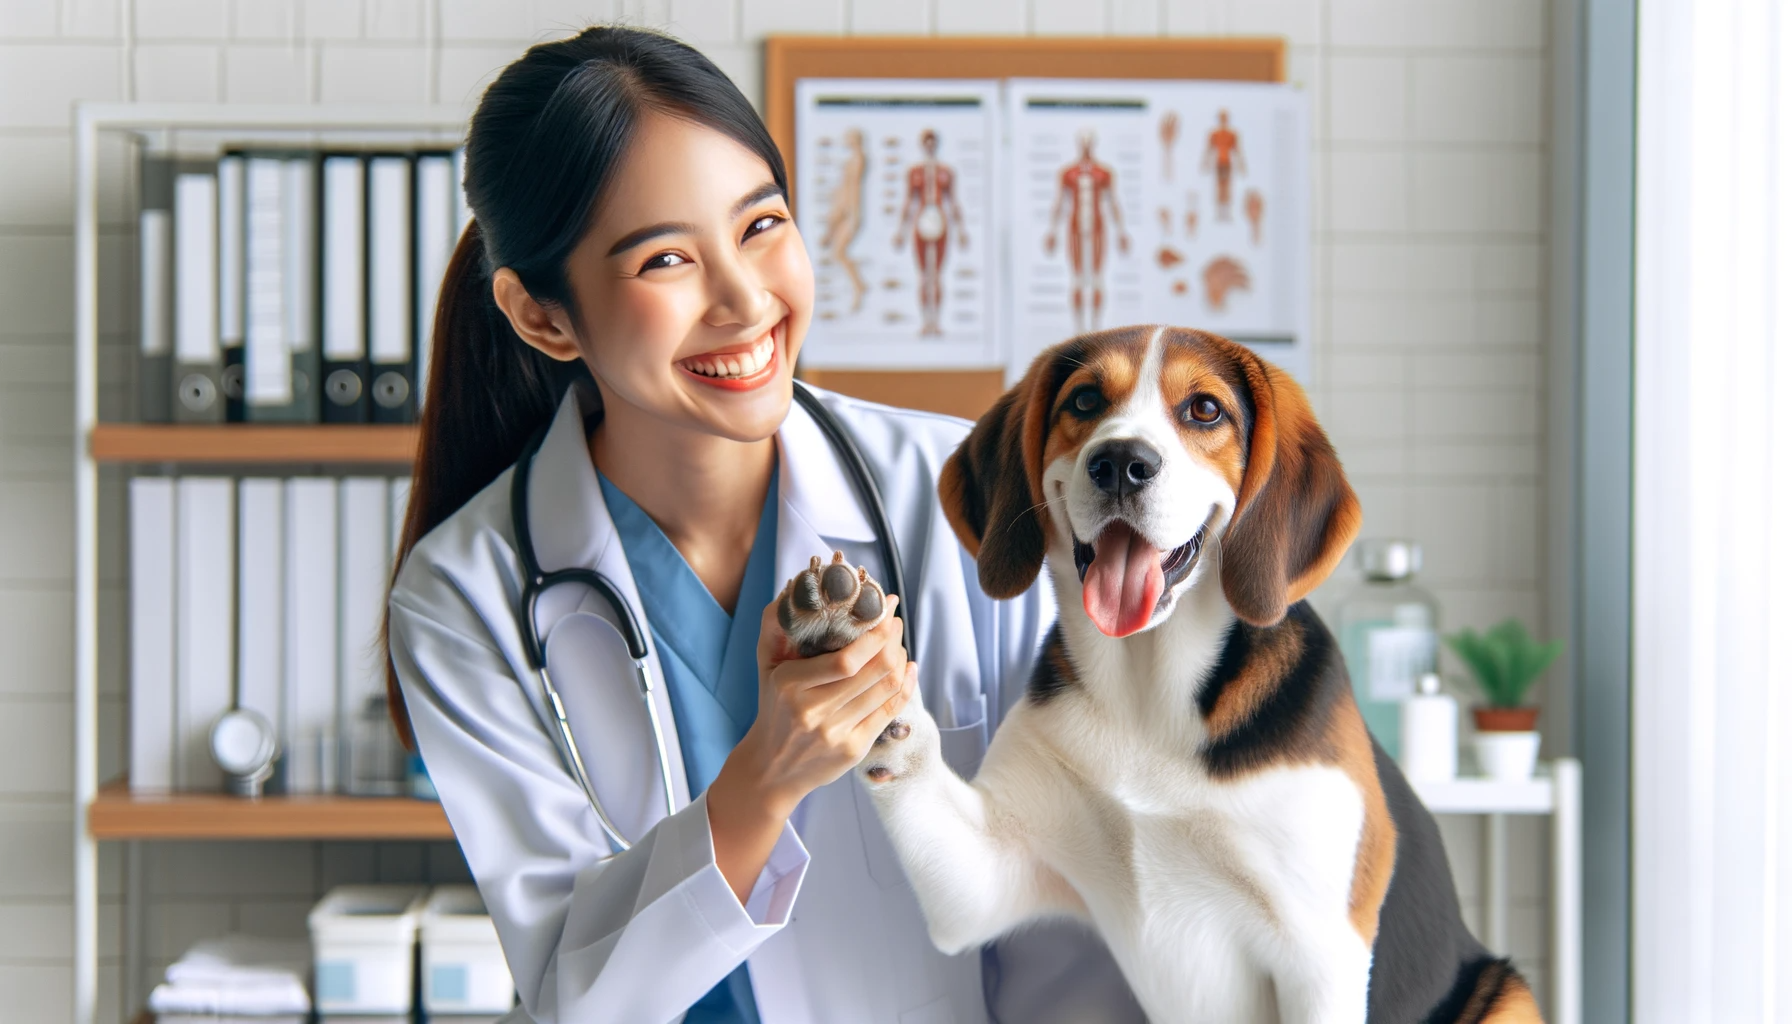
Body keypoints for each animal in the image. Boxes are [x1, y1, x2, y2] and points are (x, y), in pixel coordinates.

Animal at [845, 328, 1533, 1024]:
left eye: (1205, 410)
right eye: (1084, 399)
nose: (1121, 462)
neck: (1148, 691)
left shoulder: (1321, 957)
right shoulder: (986, 875)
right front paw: (860, 667)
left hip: (1510, 995)